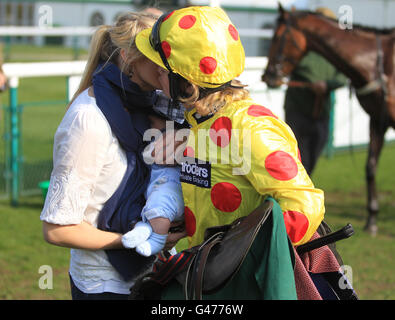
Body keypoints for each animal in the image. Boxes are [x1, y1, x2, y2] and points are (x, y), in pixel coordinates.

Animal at [262, 4, 395, 235]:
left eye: (278, 37)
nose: (268, 75)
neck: (381, 63)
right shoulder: (377, 120)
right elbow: (370, 167)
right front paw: (372, 219)